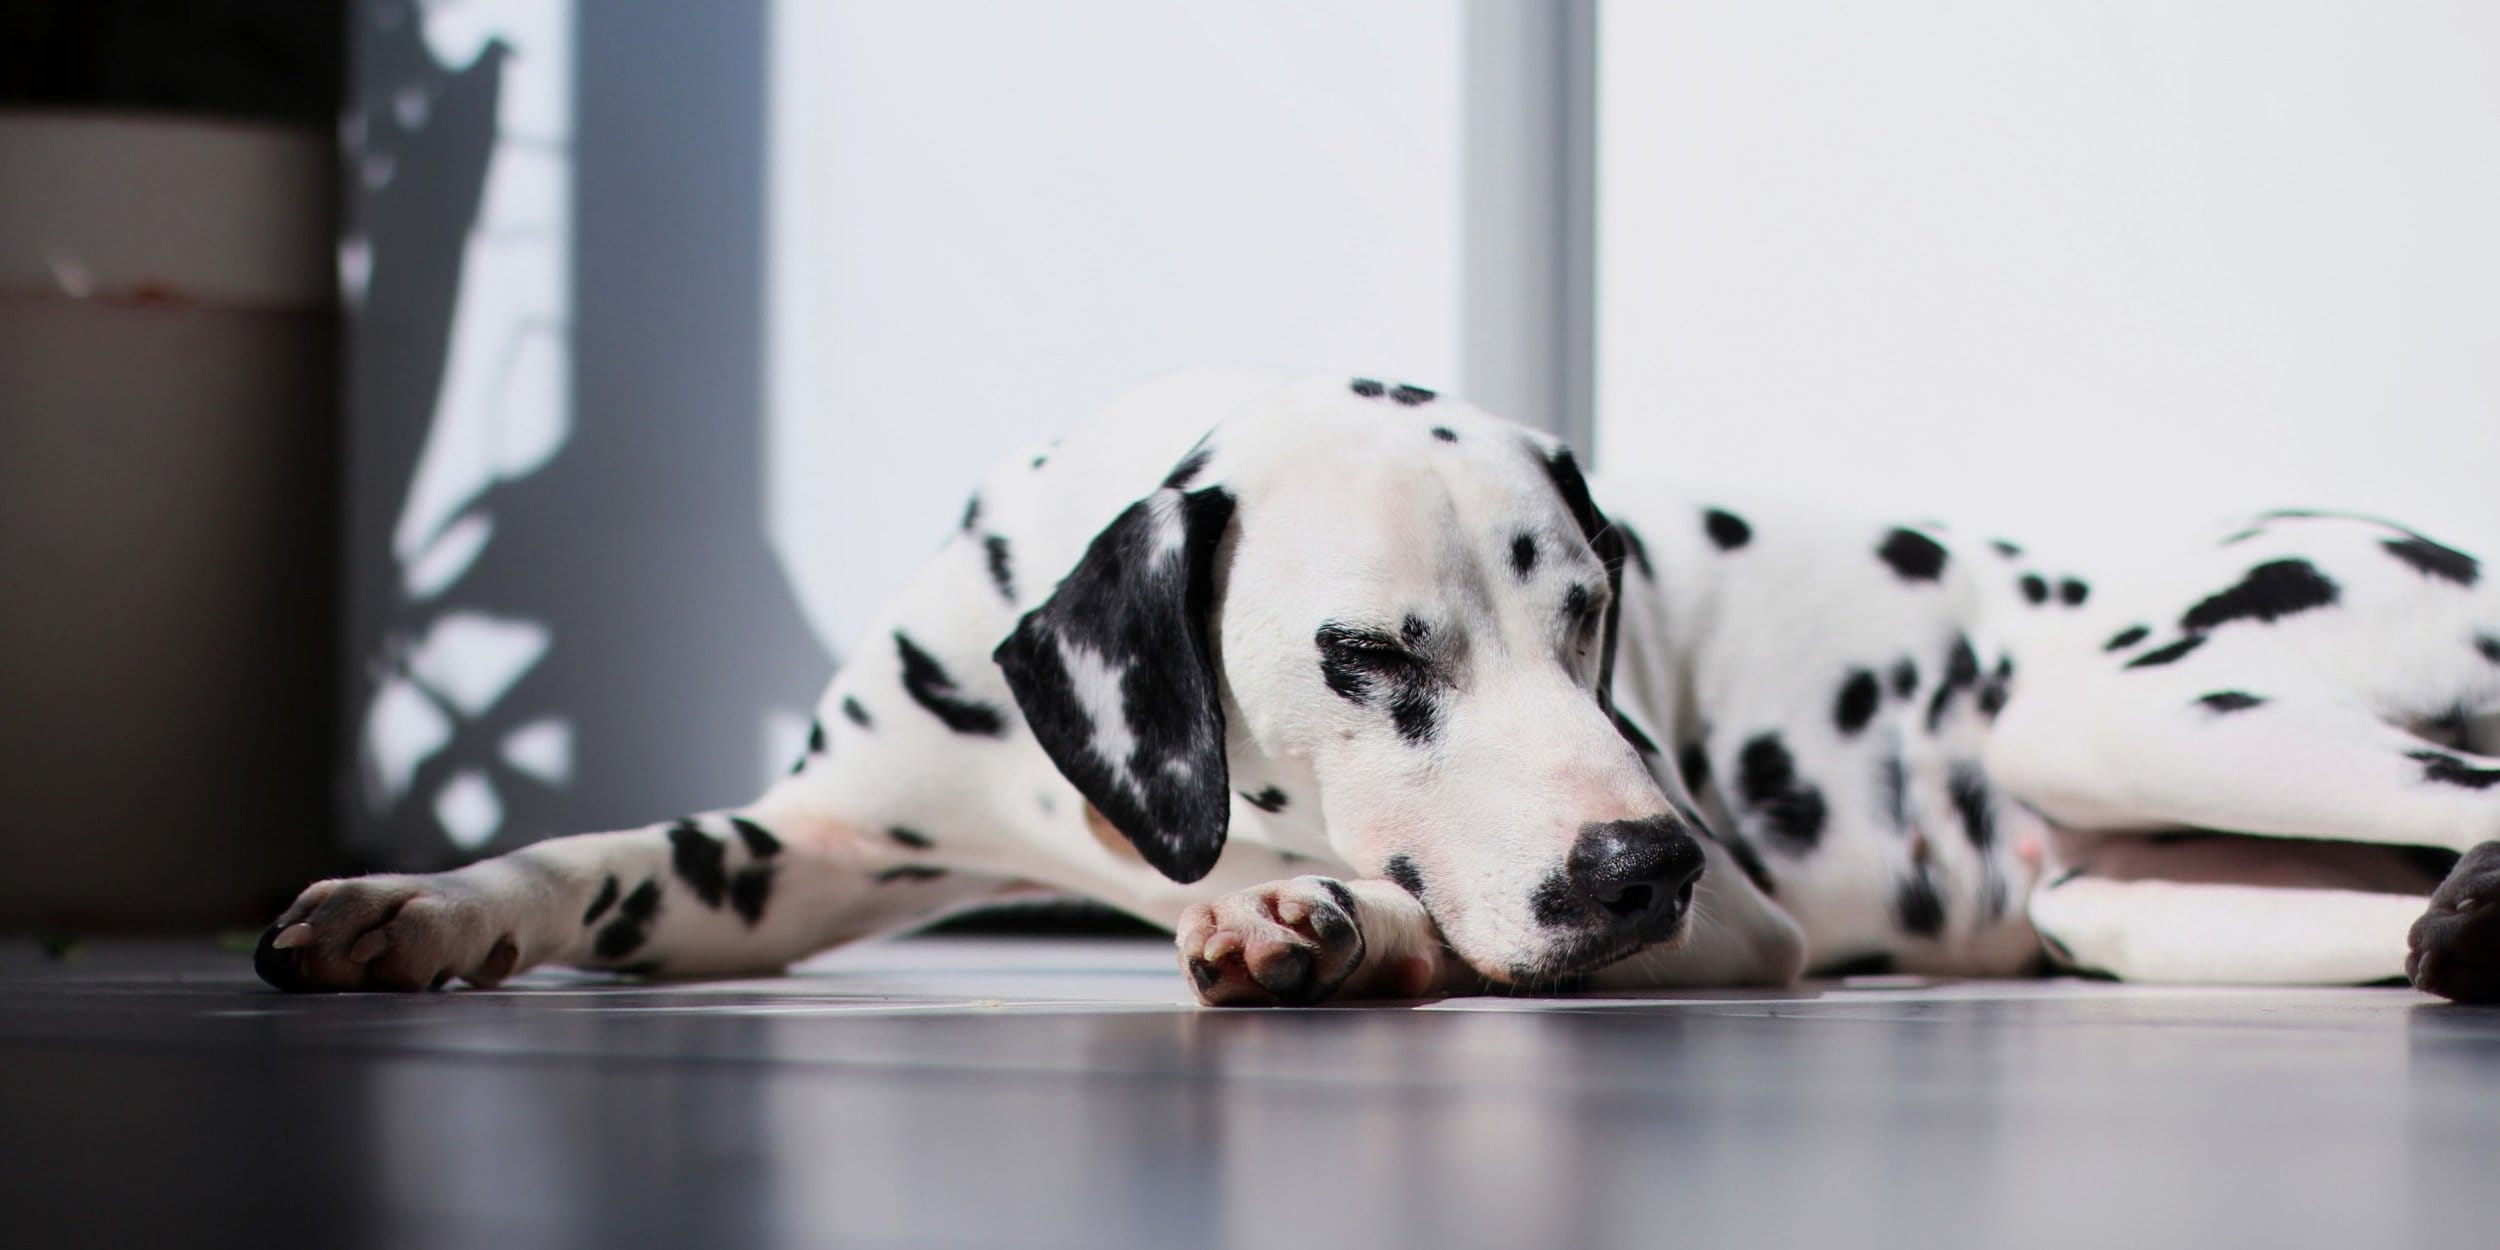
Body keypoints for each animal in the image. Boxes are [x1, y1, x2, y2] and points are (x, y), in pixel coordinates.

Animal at [253, 365, 2500, 1000]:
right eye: (1366, 657)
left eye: (1592, 611)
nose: (1642, 867)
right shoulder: (793, 847)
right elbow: (601, 858)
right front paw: (414, 900)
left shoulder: (1744, 929)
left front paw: (1320, 917)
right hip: (2123, 884)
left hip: (2125, 700)